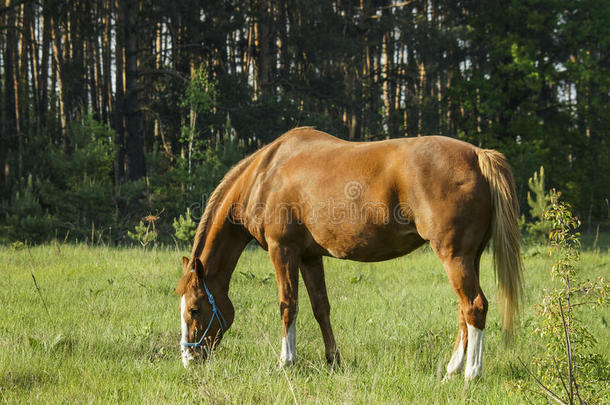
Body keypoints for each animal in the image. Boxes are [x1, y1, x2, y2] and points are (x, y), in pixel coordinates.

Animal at [176, 128, 524, 380]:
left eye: (194, 309)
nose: (189, 359)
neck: (266, 174)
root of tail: (477, 155)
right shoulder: (309, 257)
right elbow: (321, 308)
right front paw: (333, 361)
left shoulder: (283, 250)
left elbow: (288, 306)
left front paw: (286, 361)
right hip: (469, 258)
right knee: (464, 311)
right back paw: (452, 370)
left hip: (455, 257)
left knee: (474, 306)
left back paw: (471, 374)